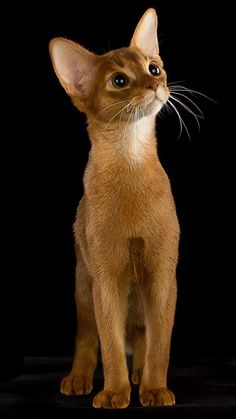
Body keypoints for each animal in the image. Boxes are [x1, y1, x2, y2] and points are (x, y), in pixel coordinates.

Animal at [49, 8, 179, 410]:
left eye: (153, 67)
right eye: (119, 80)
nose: (155, 85)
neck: (130, 161)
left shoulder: (163, 274)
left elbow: (159, 344)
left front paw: (154, 389)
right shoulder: (106, 279)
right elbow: (109, 344)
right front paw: (114, 392)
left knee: (140, 336)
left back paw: (139, 376)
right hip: (83, 286)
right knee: (88, 338)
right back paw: (79, 378)